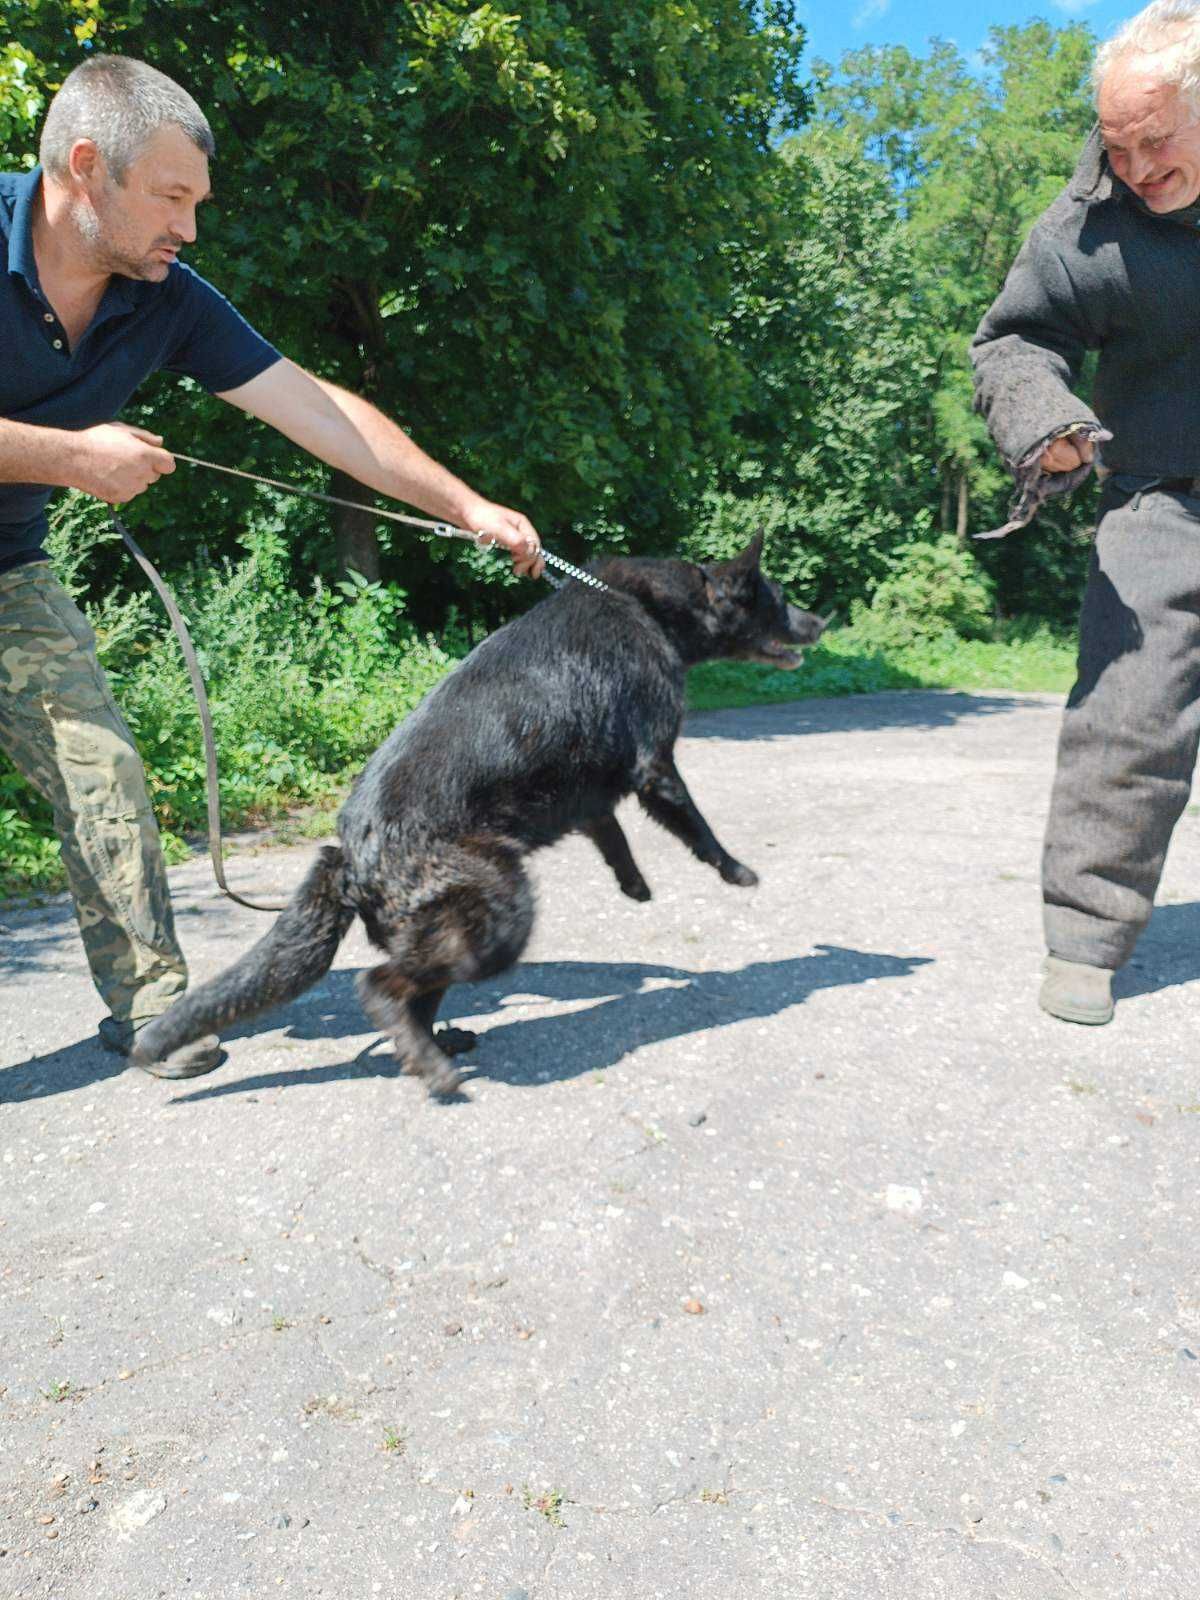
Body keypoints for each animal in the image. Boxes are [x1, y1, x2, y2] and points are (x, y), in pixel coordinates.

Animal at [131, 531, 825, 1094]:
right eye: (780, 595)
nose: (821, 620)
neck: (649, 608)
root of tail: (352, 859)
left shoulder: (593, 792)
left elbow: (611, 833)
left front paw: (634, 884)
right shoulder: (656, 766)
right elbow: (697, 828)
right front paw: (736, 871)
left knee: (413, 999)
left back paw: (435, 1048)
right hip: (498, 918)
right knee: (382, 988)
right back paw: (434, 1069)